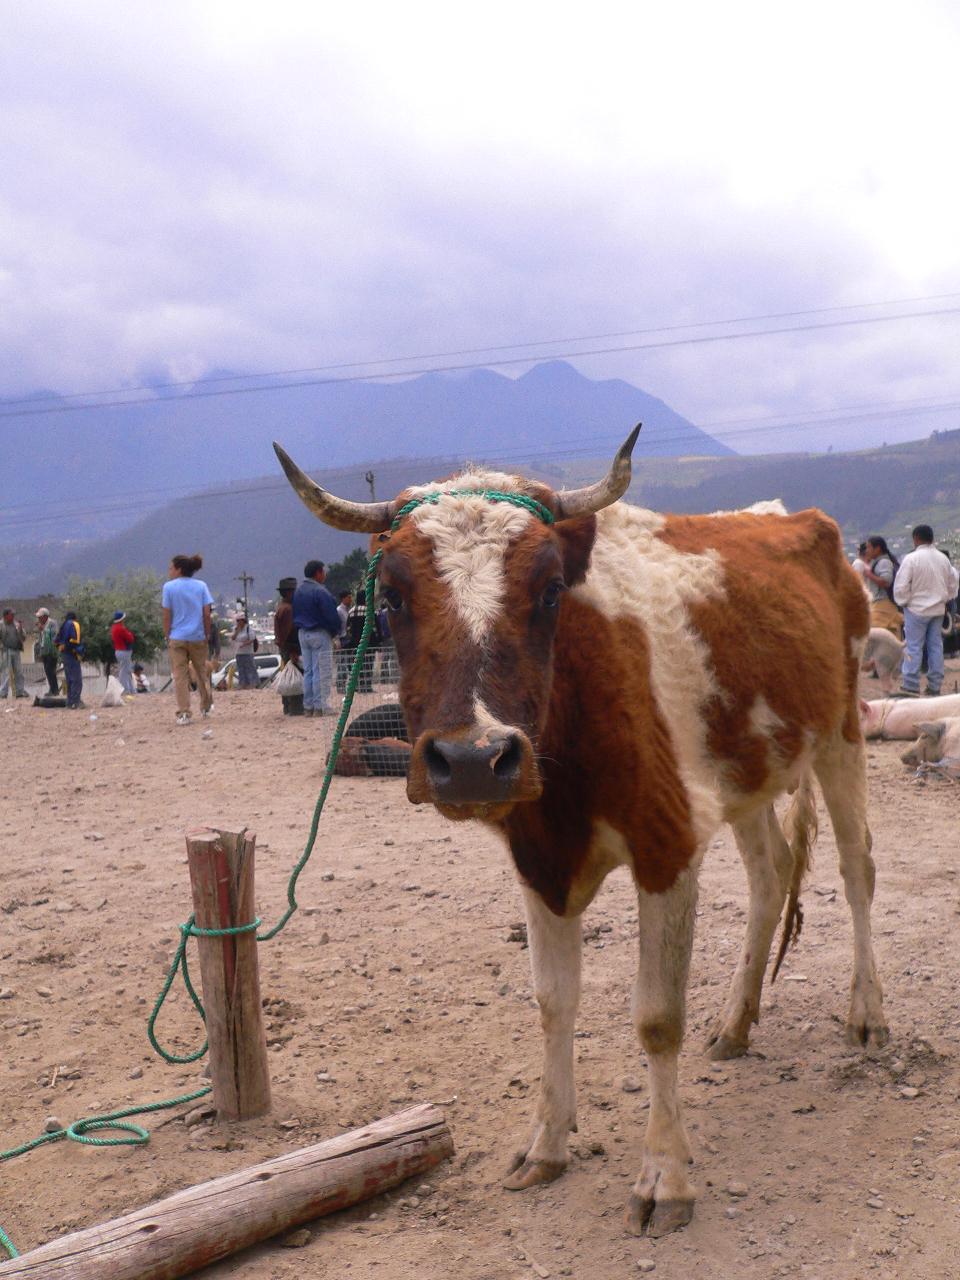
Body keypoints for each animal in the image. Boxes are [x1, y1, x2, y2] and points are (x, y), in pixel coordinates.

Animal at [273, 432, 890, 1239]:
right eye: (393, 598)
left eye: (549, 591)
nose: (472, 759)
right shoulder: (540, 860)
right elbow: (552, 1002)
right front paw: (546, 1143)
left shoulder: (667, 843)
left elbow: (657, 1019)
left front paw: (665, 1176)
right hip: (748, 772)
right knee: (771, 874)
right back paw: (736, 1020)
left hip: (842, 731)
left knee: (856, 870)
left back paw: (868, 1013)